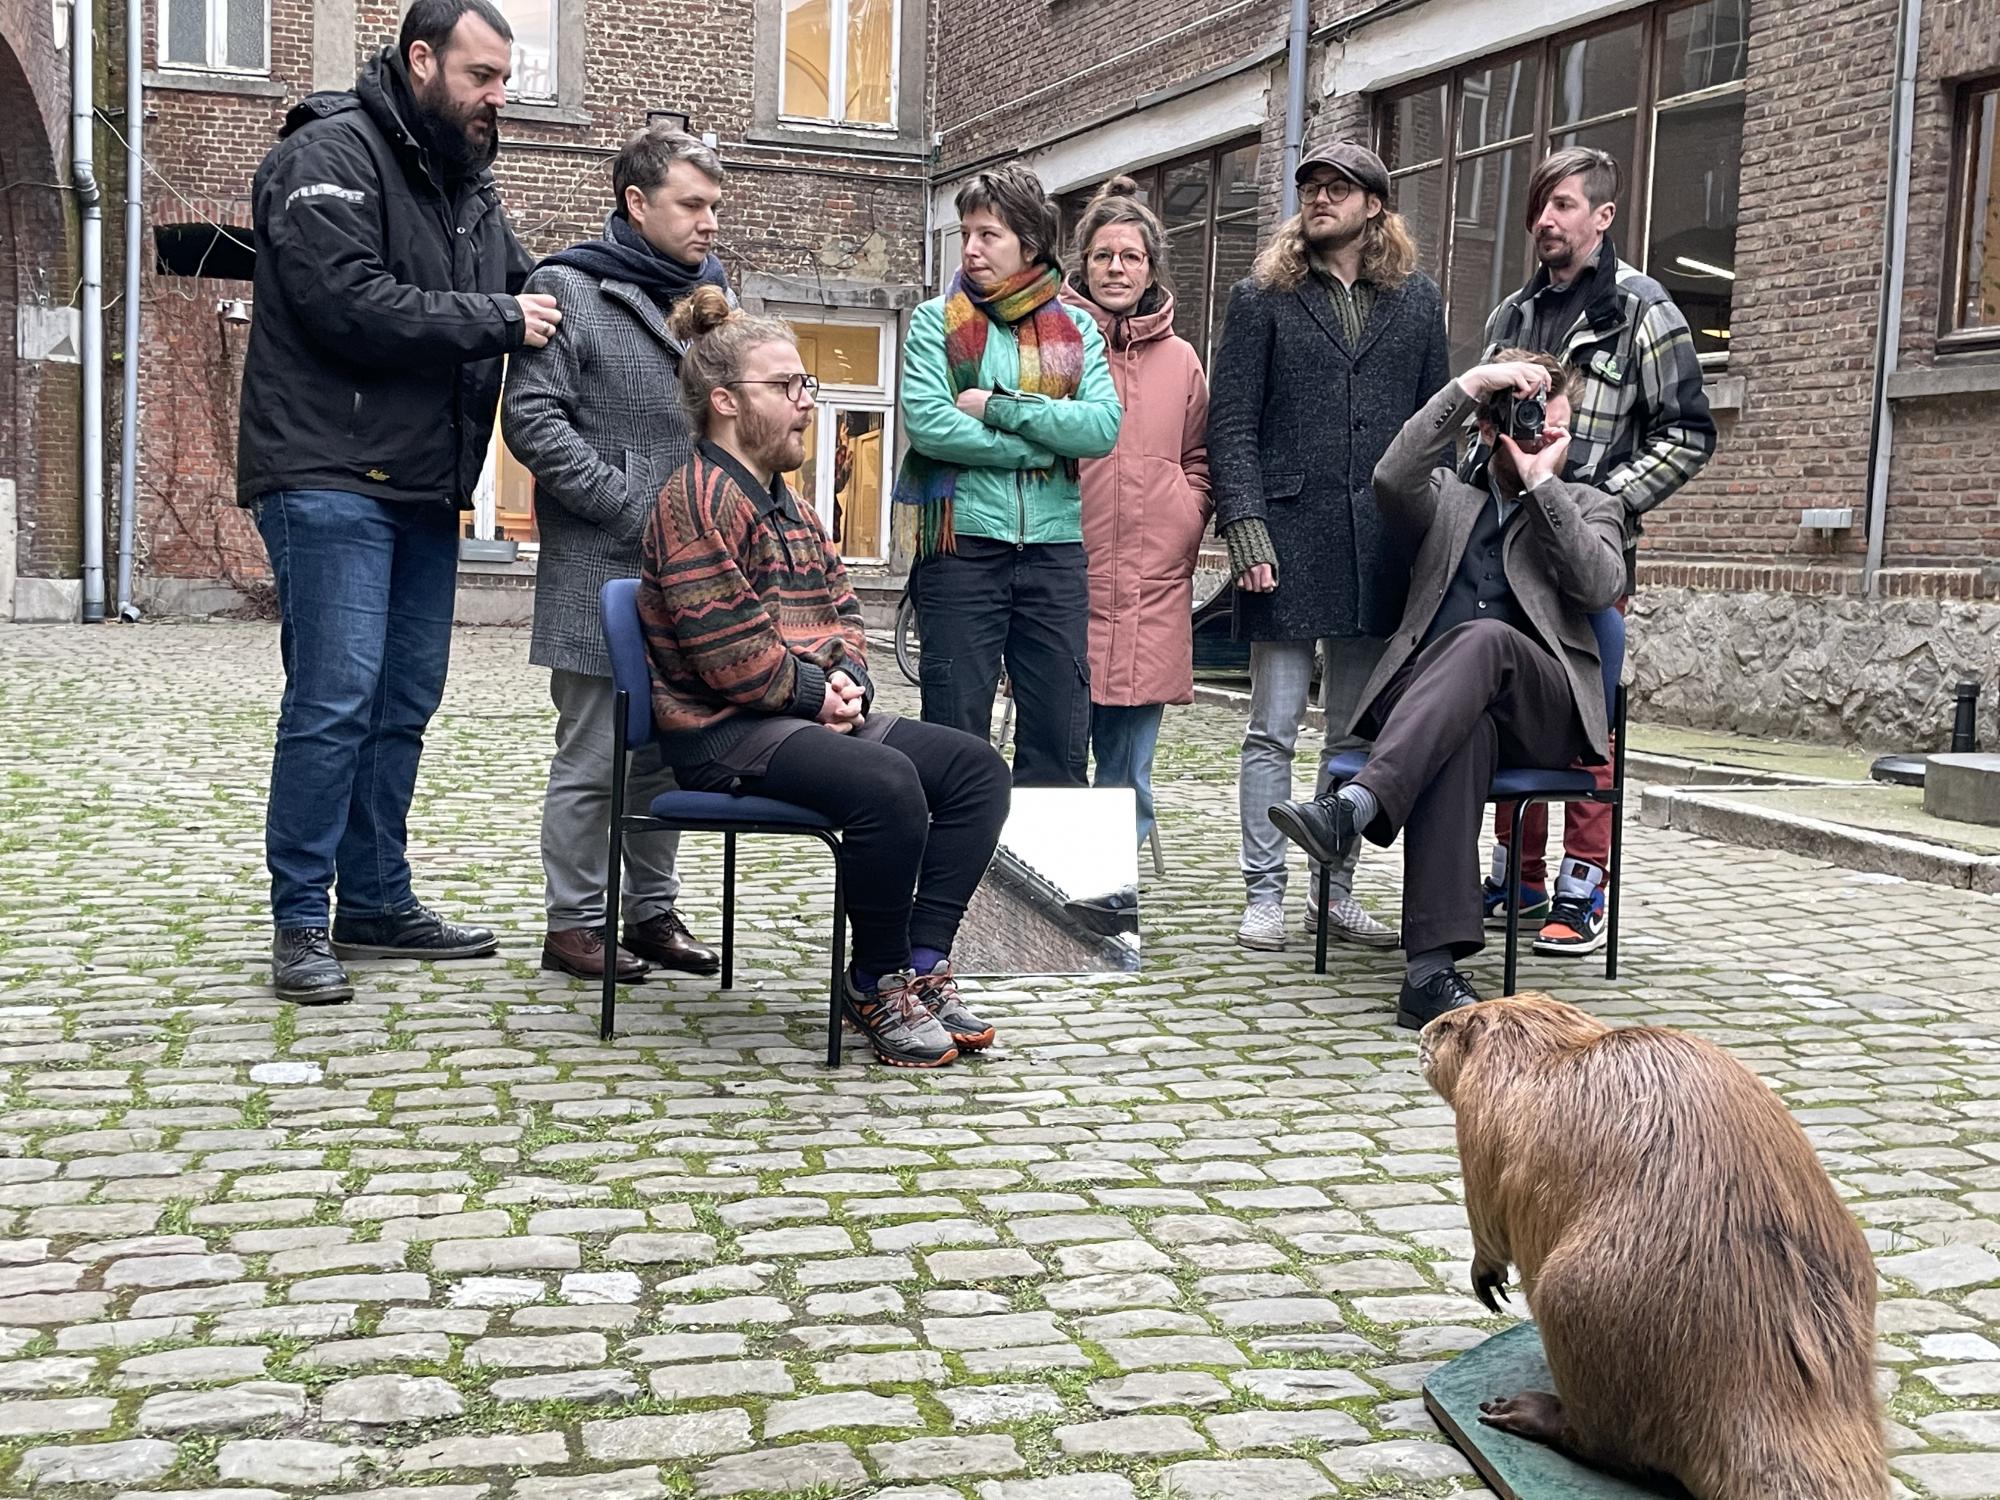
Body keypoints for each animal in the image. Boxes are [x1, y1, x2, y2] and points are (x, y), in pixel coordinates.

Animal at [1416, 1000, 1880, 1500]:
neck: (1542, 1050)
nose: (1421, 1035)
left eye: (1447, 1025)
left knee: (1605, 1443)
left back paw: (1518, 1409)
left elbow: (1485, 1211)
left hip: (1570, 1300)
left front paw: (1488, 1282)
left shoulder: (1480, 1115)